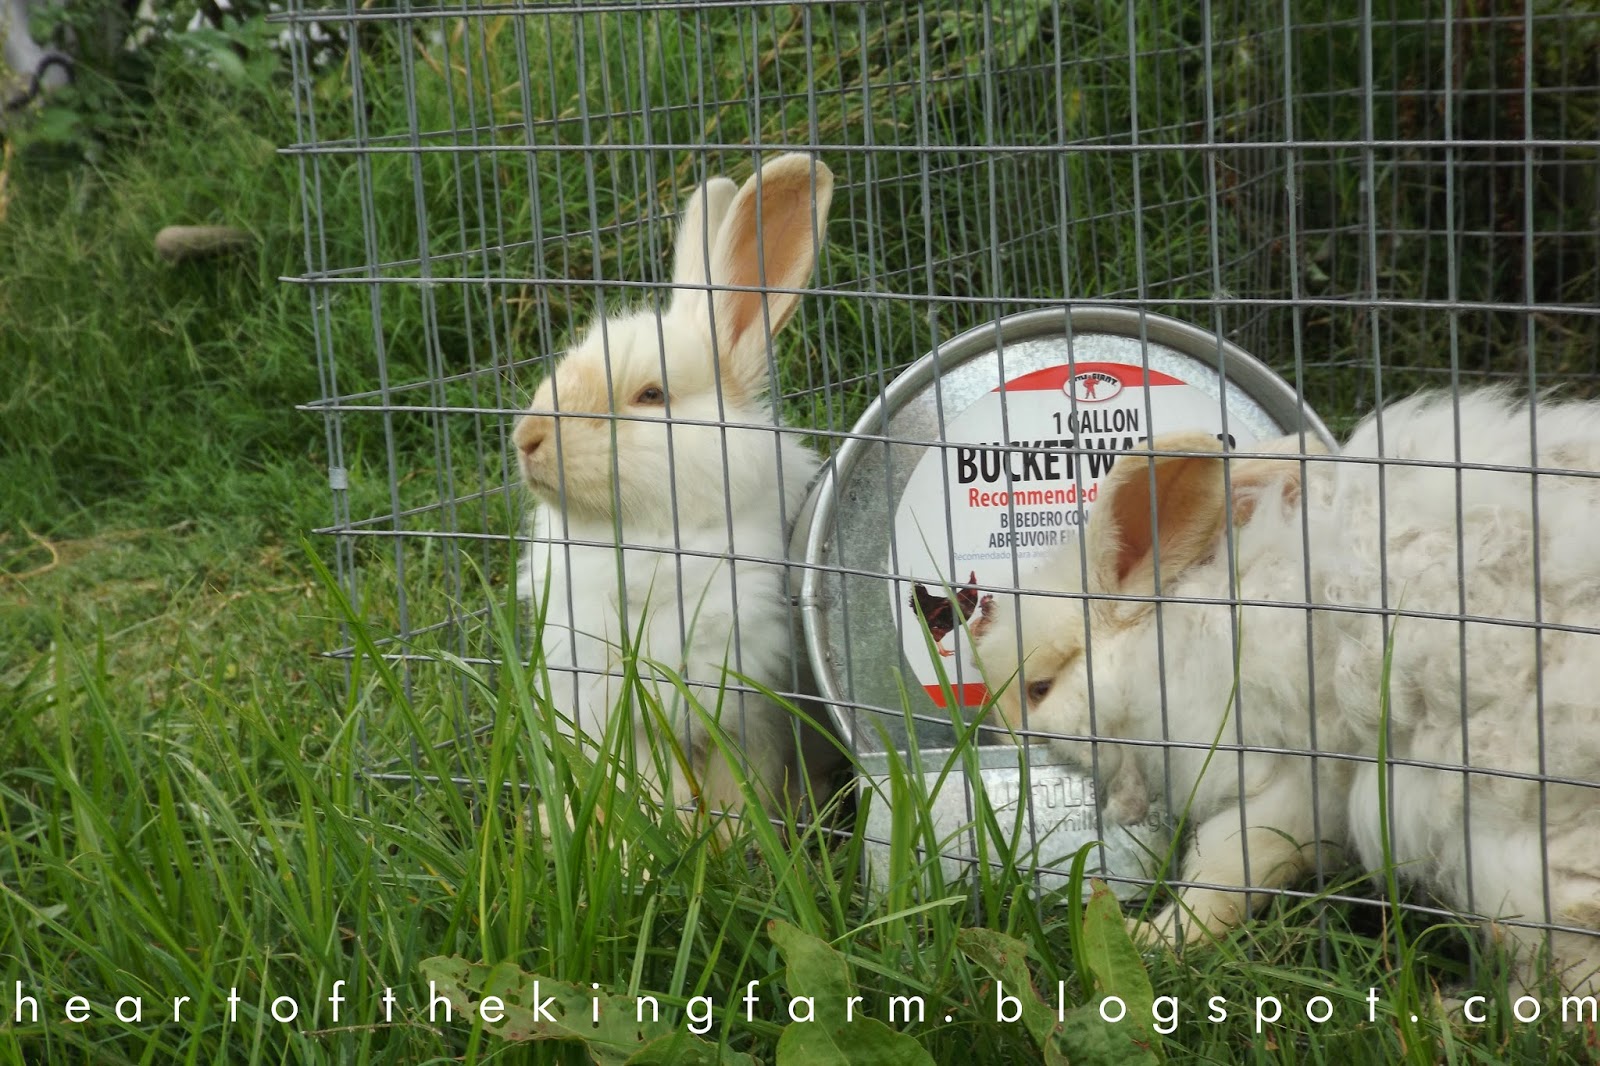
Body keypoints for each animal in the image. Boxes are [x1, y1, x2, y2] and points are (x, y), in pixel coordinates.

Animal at [512, 153, 840, 832]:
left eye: (650, 395)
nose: (527, 439)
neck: (647, 539)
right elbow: (633, 789)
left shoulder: (745, 710)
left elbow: (735, 792)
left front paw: (731, 843)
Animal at [975, 389, 1600, 996]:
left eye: (1039, 688)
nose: (1002, 740)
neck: (1166, 644)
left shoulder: (1294, 773)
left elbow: (1229, 864)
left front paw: (1151, 938)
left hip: (1511, 843)